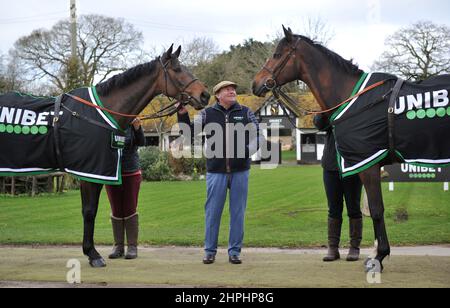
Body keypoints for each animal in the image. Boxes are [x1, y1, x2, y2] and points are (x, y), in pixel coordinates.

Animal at [0, 44, 210, 268]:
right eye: (177, 69)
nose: (205, 95)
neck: (97, 113)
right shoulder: (89, 172)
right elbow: (89, 211)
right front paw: (92, 254)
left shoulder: (92, 172)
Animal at [251, 27, 448, 272]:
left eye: (277, 54)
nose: (255, 83)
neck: (355, 98)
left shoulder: (368, 164)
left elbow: (376, 209)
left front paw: (379, 256)